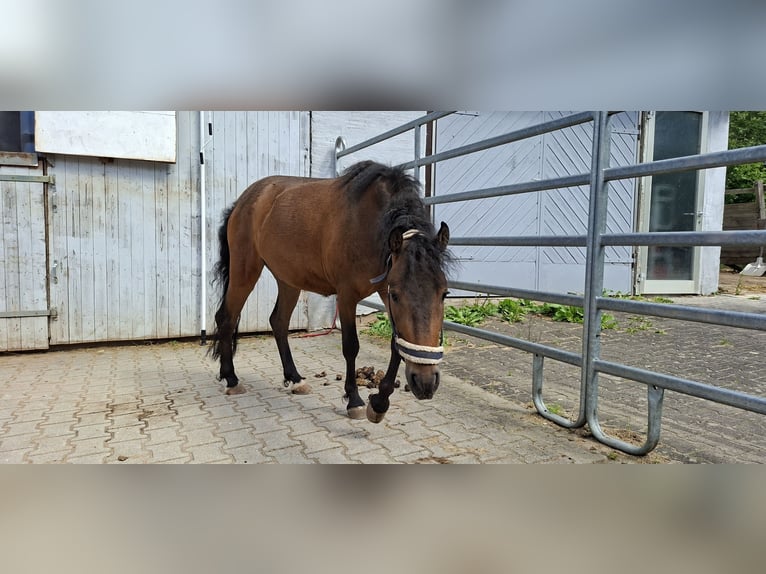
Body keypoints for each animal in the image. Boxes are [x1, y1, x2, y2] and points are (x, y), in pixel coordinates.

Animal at [210, 160, 452, 423]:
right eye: (398, 294)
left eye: (444, 294)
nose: (425, 383)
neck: (367, 223)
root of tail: (242, 201)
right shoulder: (348, 295)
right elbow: (351, 346)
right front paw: (355, 400)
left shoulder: (384, 290)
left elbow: (396, 345)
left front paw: (379, 403)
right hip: (245, 270)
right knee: (227, 318)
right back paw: (231, 379)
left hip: (288, 280)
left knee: (278, 322)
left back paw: (295, 379)